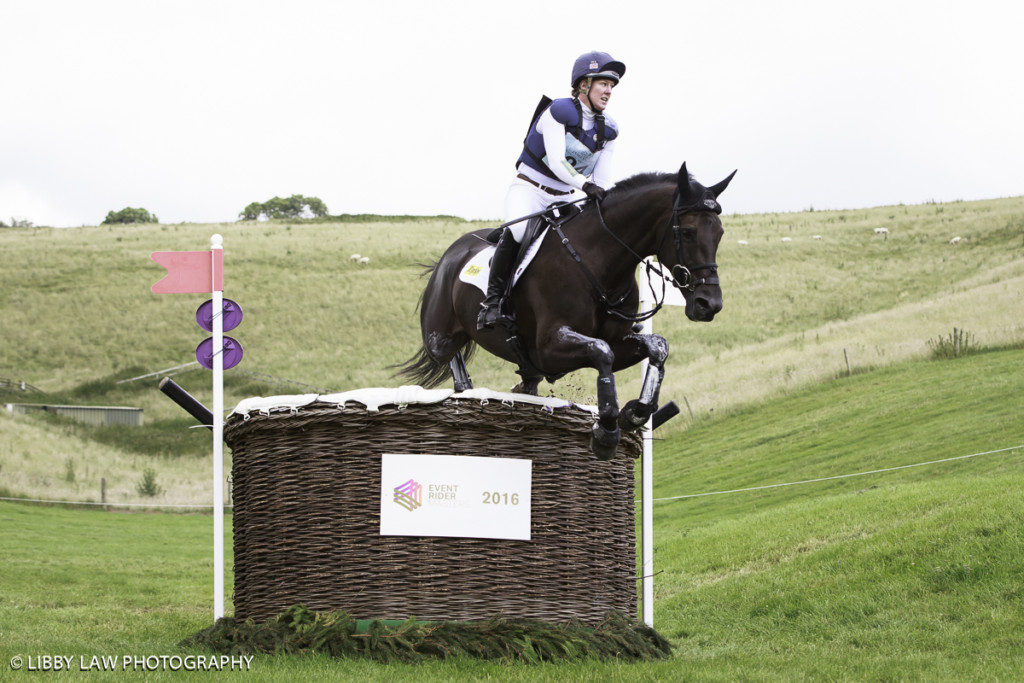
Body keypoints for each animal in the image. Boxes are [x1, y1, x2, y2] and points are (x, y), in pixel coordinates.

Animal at [393, 161, 737, 458]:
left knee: (525, 381)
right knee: (449, 354)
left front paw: (635, 414)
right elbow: (601, 353)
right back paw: (467, 384)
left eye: (720, 233)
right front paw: (606, 432)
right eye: (689, 231)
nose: (709, 304)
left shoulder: (616, 340)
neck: (600, 262)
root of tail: (448, 256)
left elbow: (657, 348)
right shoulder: (550, 347)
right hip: (440, 334)